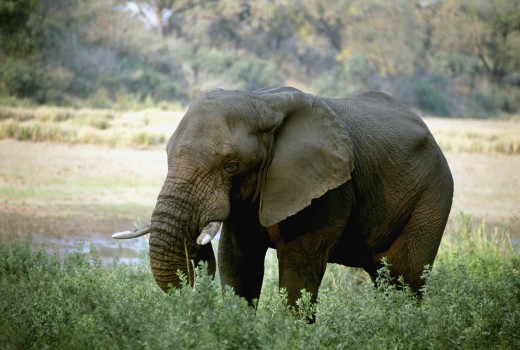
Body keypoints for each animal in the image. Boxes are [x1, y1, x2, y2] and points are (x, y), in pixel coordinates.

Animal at [112, 87, 450, 312]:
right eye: (167, 154)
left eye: (231, 165)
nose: (197, 250)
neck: (261, 102)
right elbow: (238, 262)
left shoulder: (325, 190)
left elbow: (298, 270)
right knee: (385, 280)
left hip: (433, 195)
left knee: (406, 278)